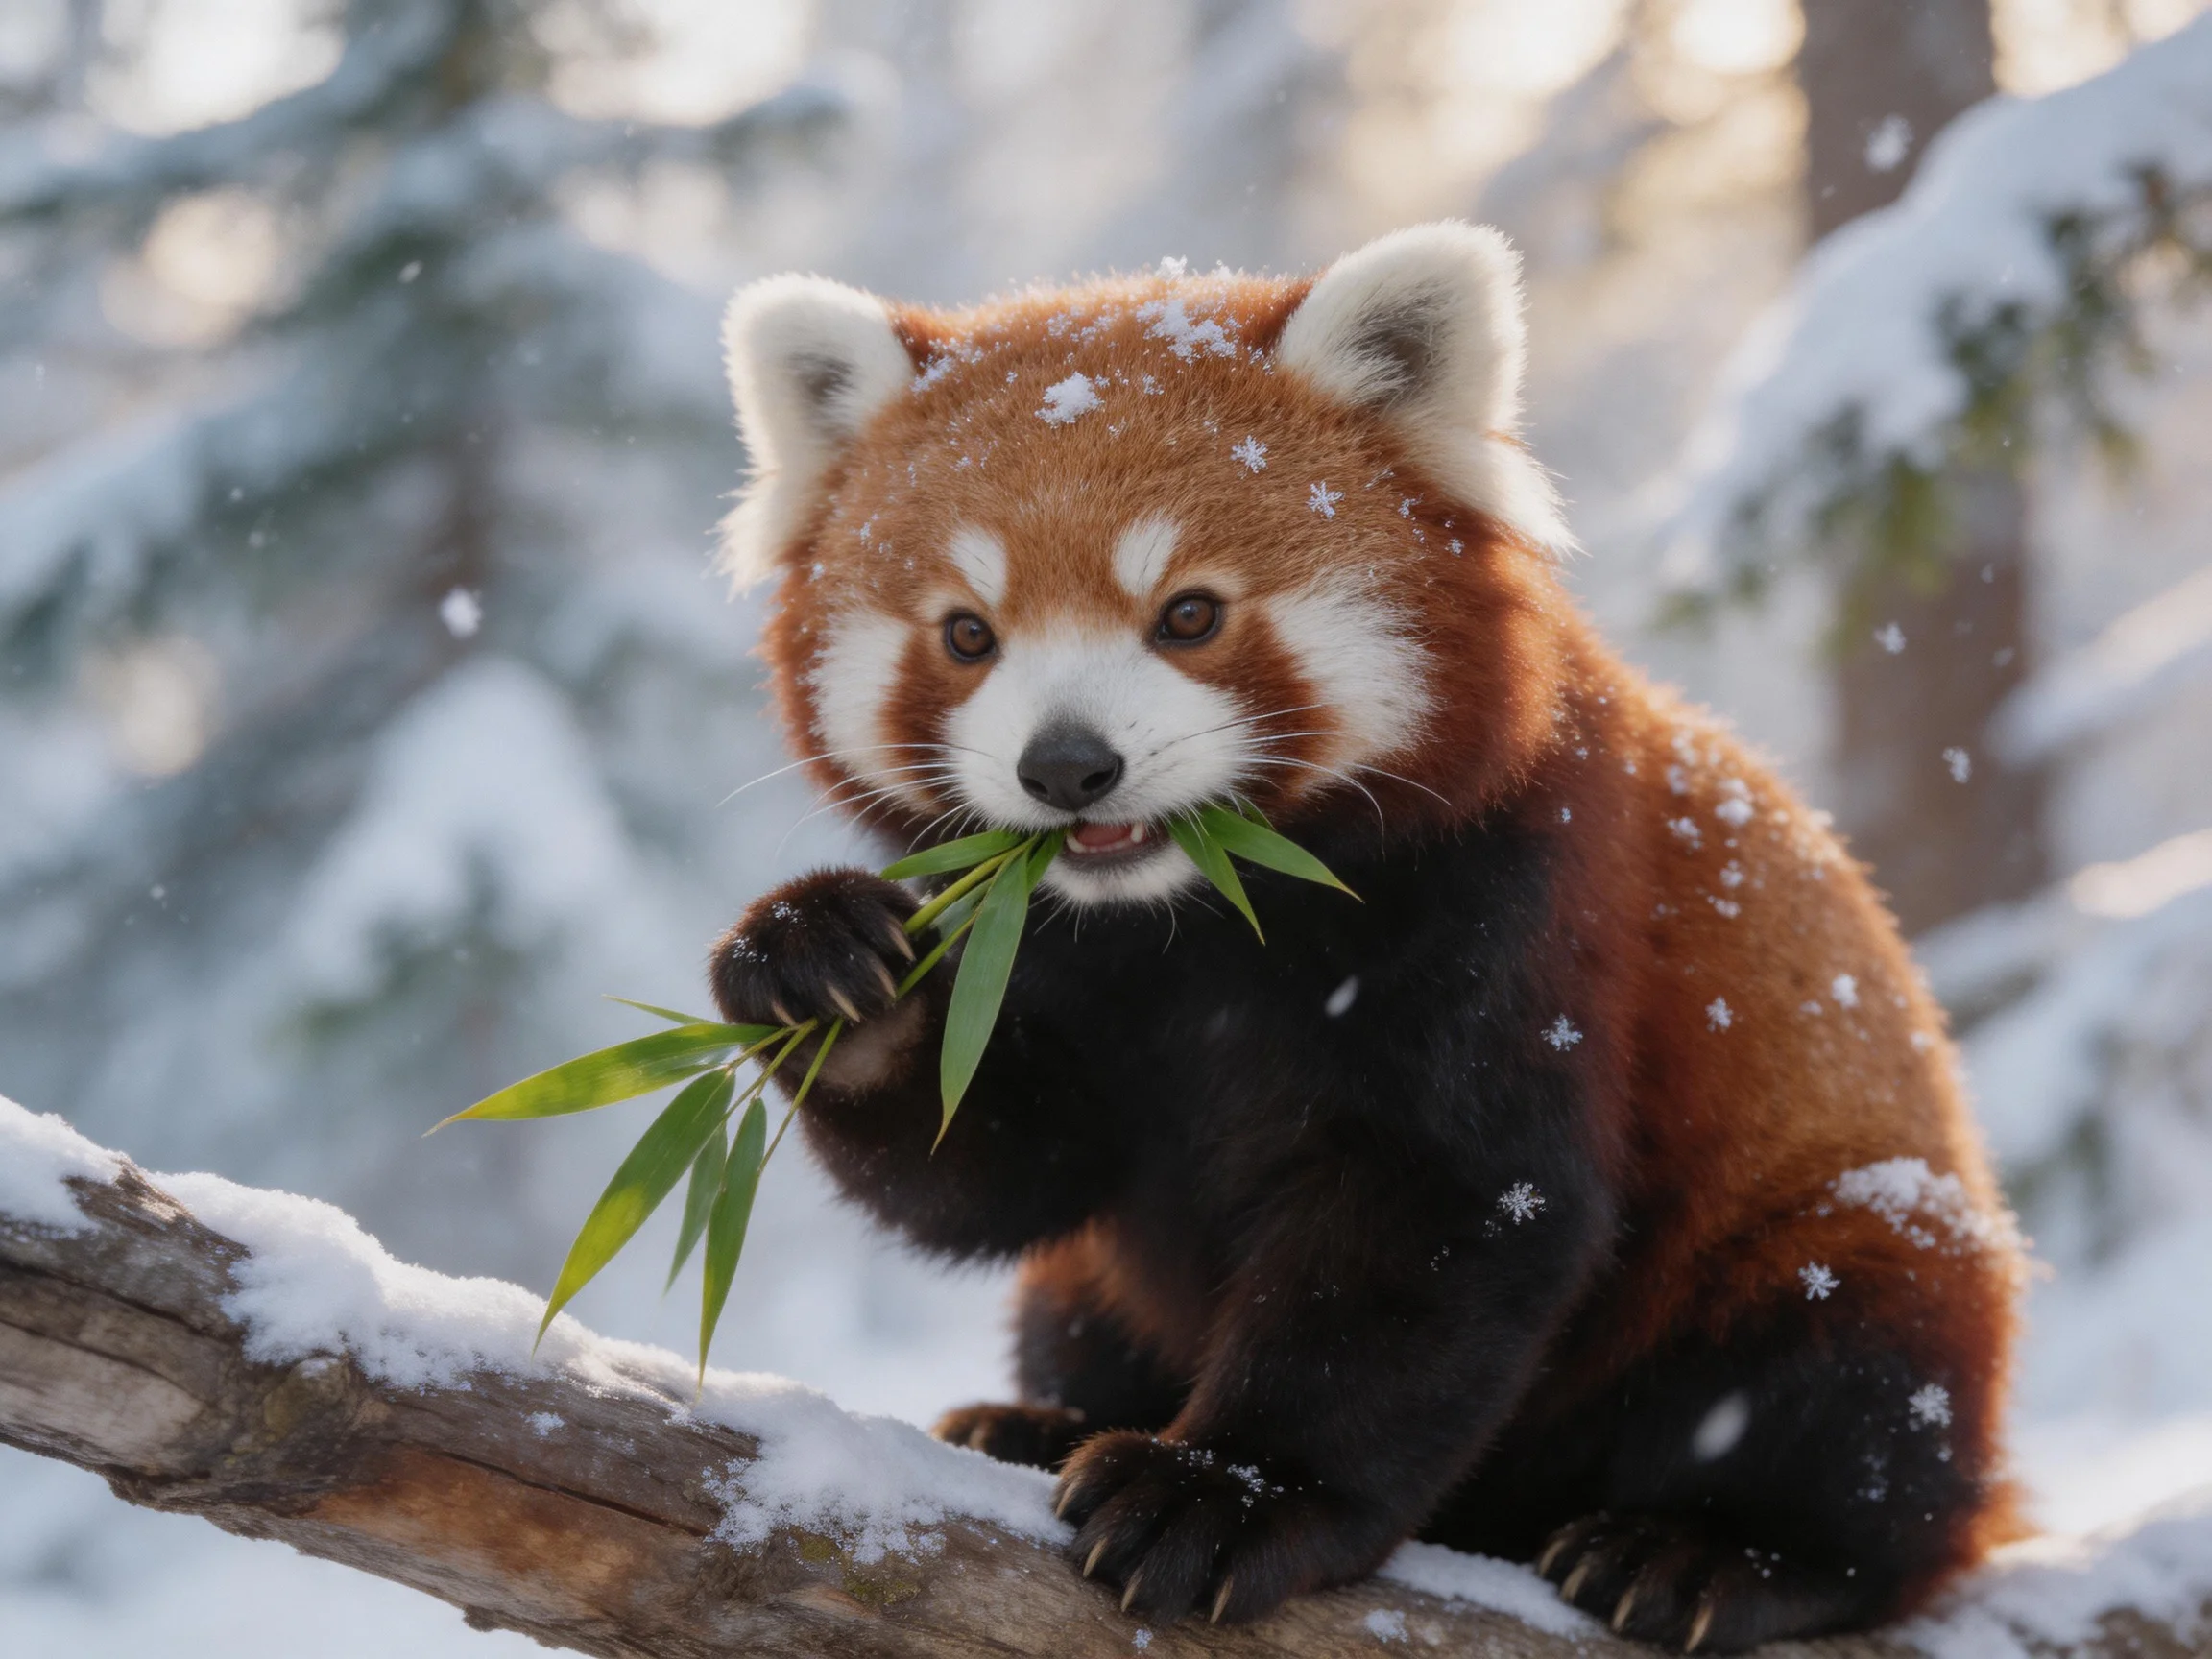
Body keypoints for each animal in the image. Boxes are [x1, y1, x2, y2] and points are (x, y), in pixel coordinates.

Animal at [705, 223, 2025, 1651]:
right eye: (967, 634)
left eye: (1189, 614)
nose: (1065, 768)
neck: (1193, 925)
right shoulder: (1048, 952)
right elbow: (1007, 1166)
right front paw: (827, 972)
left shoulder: (1511, 893)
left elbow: (1436, 1217)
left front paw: (1223, 1492)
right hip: (1088, 1289)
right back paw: (1030, 1416)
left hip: (1845, 1232)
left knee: (1854, 1383)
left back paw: (1721, 1554)